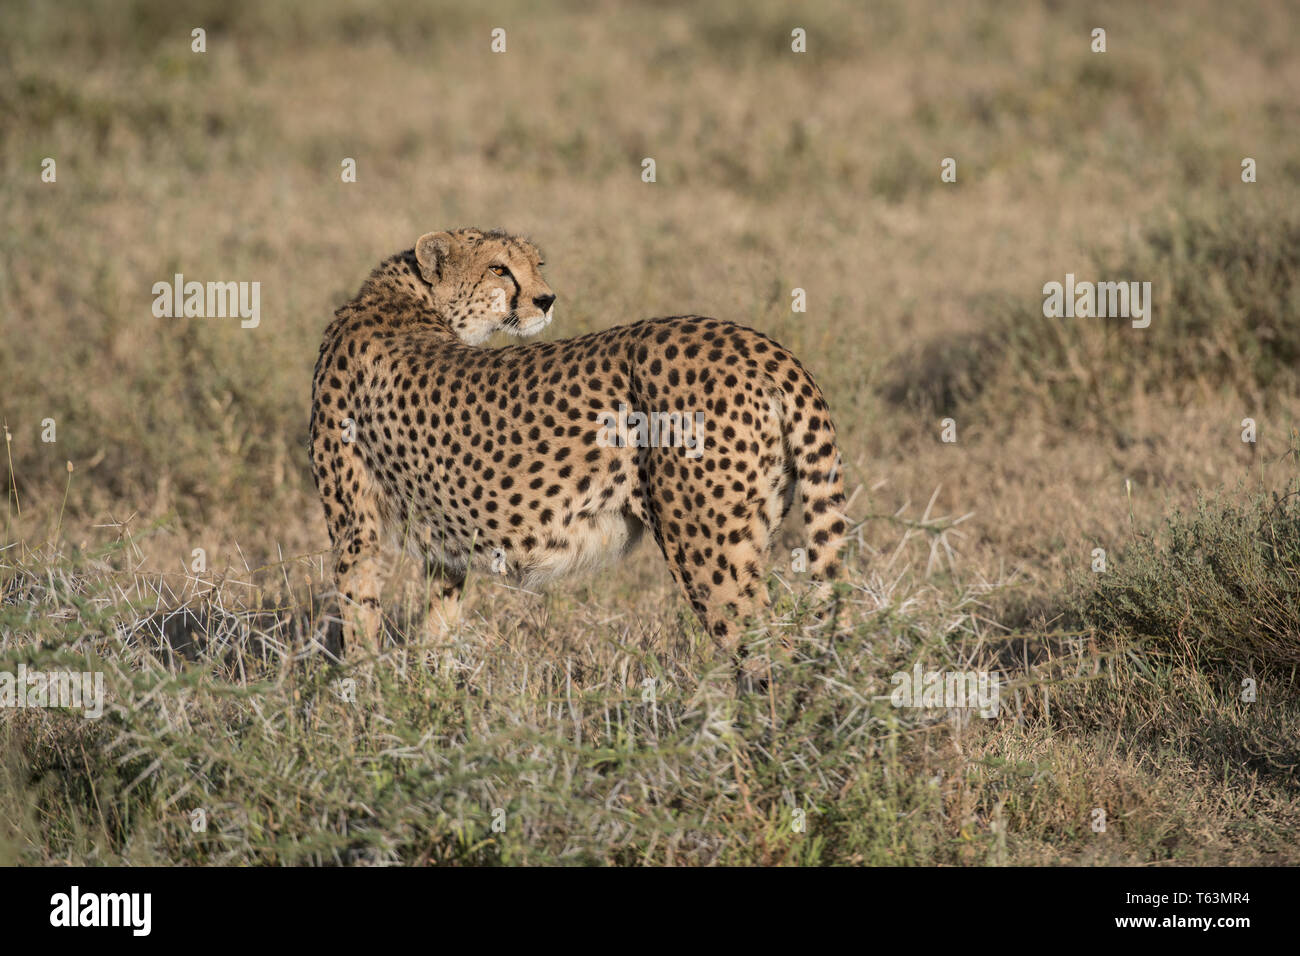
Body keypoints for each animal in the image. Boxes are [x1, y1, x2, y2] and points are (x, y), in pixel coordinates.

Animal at [309, 230, 847, 665]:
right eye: (498, 268)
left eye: (536, 264)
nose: (546, 300)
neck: (407, 299)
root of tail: (759, 344)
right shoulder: (444, 540)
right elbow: (436, 622)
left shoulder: (354, 525)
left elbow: (359, 620)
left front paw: (365, 703)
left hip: (705, 544)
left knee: (769, 650)